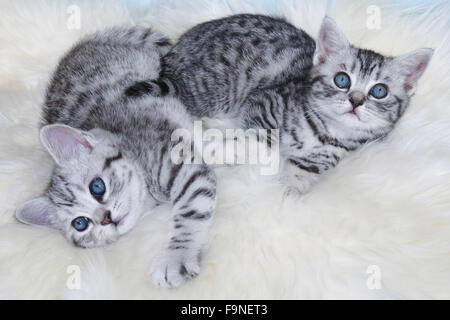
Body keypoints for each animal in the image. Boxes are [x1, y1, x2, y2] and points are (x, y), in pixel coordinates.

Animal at [15, 28, 216, 288]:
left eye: (97, 187)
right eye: (80, 223)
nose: (106, 219)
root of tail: (83, 46)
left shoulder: (181, 165)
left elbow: (191, 208)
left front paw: (177, 257)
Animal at [135, 14, 434, 195]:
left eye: (379, 91)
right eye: (342, 79)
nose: (356, 101)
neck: (326, 132)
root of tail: (175, 54)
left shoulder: (320, 160)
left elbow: (300, 176)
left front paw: (287, 195)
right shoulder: (262, 103)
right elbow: (263, 145)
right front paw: (221, 149)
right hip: (214, 91)